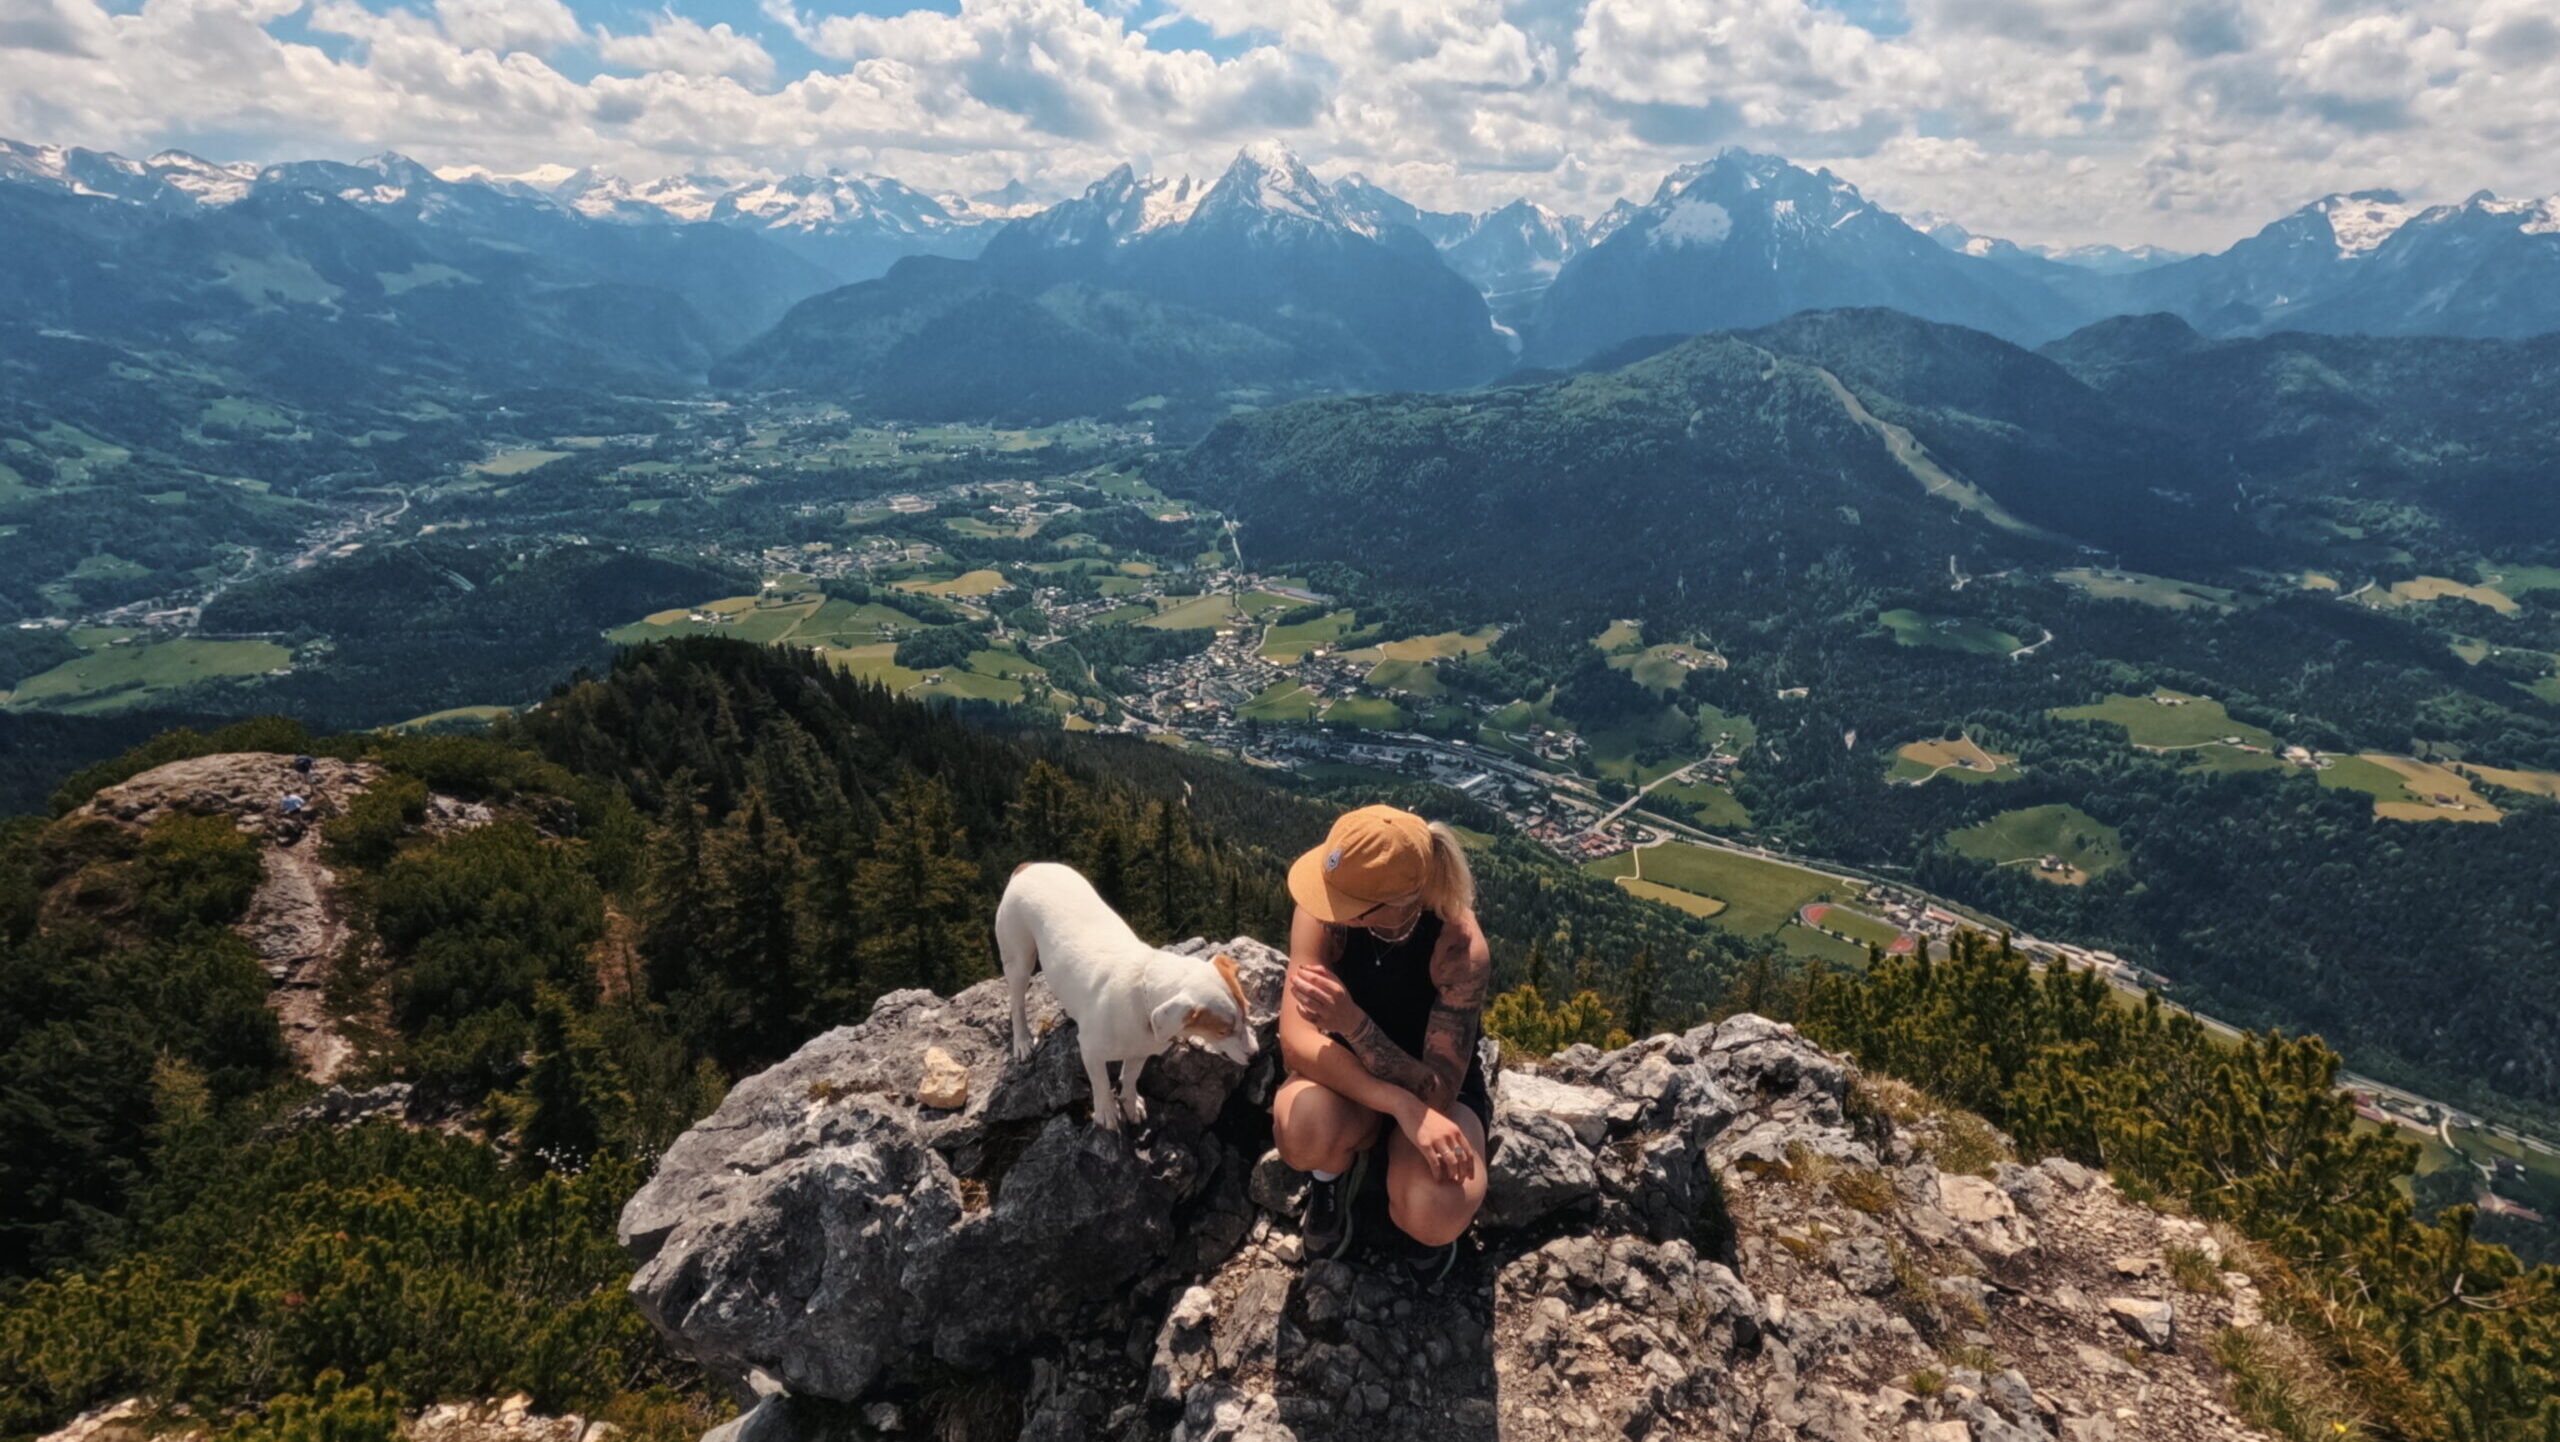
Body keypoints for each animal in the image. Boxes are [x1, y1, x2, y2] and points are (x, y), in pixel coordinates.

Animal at [993, 865, 1254, 1132]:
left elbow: (1130, 1077)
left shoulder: (1140, 1050)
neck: (1143, 995)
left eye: (1248, 1012)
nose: (1254, 1054)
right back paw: (1023, 1041)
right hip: (1018, 958)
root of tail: (1029, 866)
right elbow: (1100, 1083)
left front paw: (1130, 1103)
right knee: (1017, 1003)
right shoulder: (1090, 1050)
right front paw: (1106, 1111)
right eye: (1222, 1031)